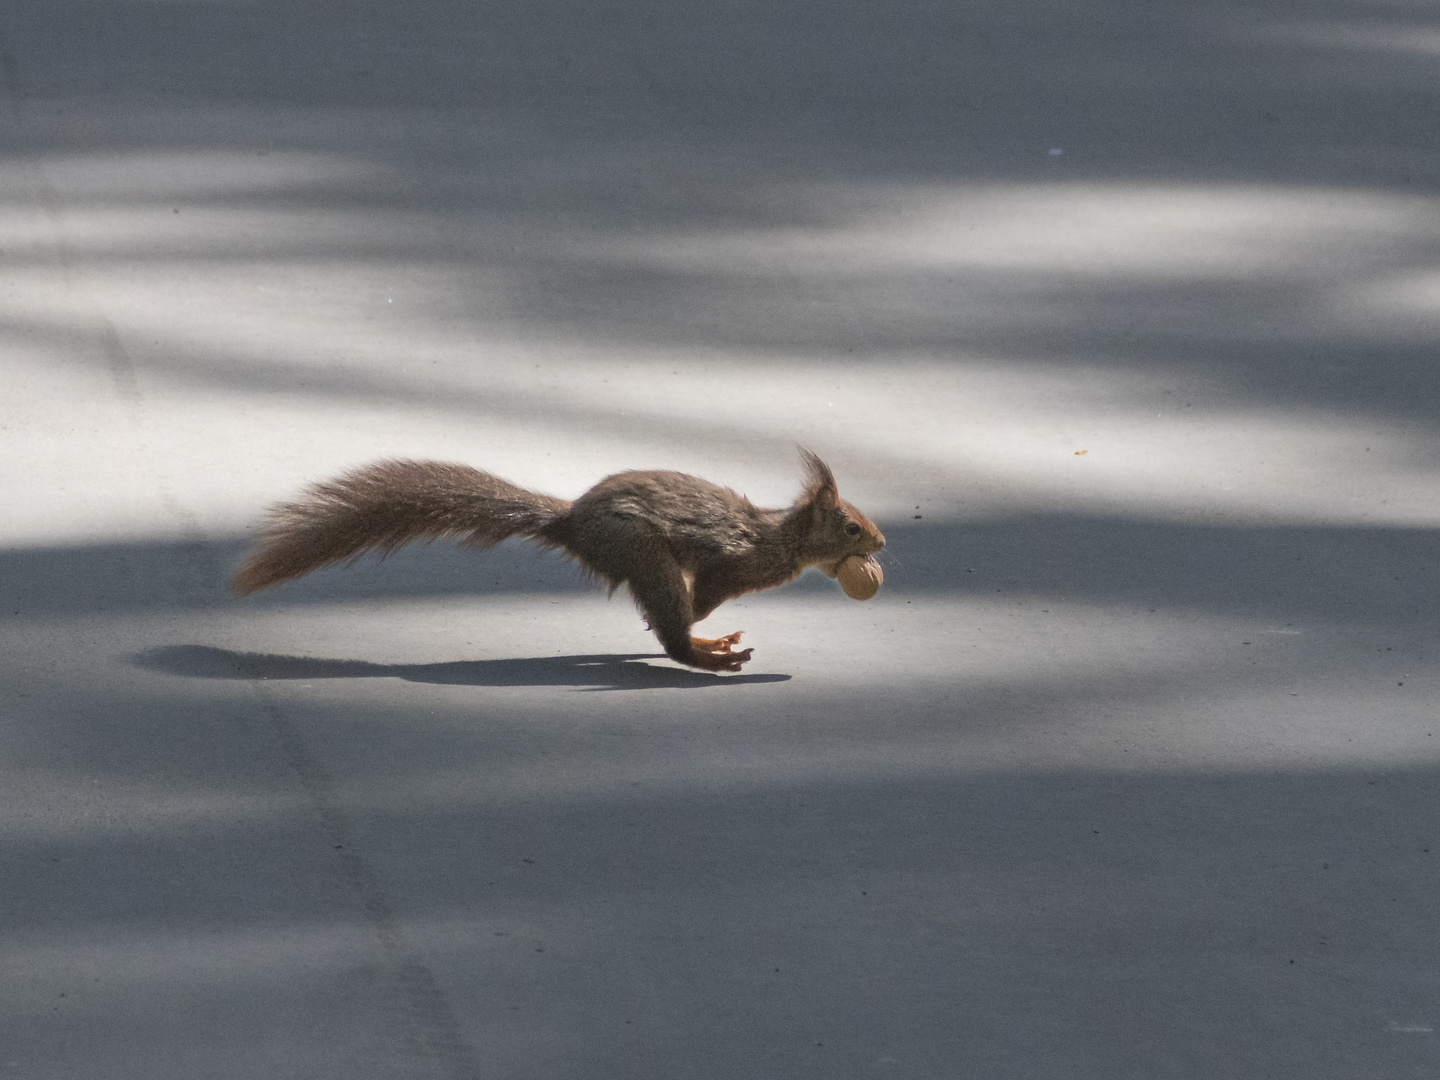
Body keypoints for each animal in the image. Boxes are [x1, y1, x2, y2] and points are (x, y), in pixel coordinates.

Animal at [231, 452, 881, 673]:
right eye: (851, 526)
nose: (880, 544)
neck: (783, 540)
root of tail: (570, 520)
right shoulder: (735, 563)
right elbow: (706, 590)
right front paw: (693, 621)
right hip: (641, 551)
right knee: (674, 627)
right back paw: (704, 651)